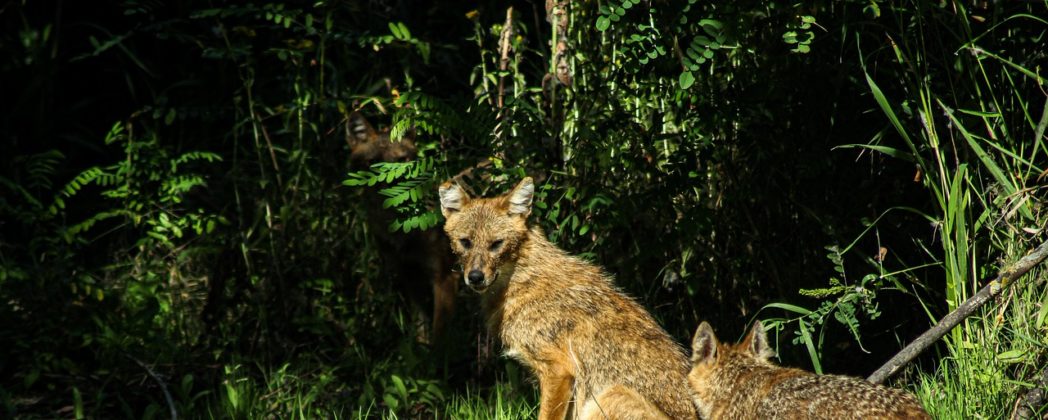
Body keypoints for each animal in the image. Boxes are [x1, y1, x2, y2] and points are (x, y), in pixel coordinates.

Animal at [438, 177, 696, 419]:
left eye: (496, 244)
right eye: (465, 242)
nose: (475, 277)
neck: (523, 279)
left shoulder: (559, 369)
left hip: (611, 394)